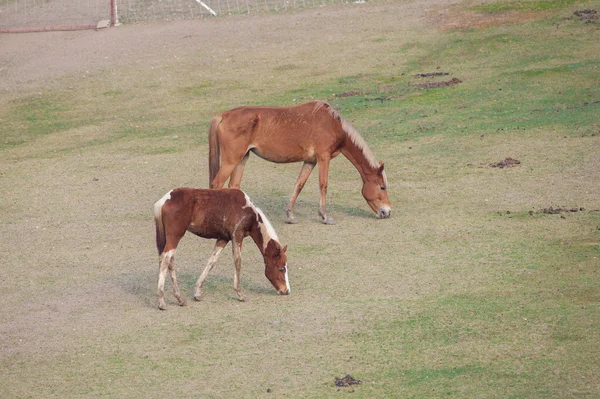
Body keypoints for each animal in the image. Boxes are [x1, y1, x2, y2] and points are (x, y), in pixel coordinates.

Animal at [152, 187, 288, 310]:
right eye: (281, 269)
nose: (286, 290)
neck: (249, 212)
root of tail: (164, 200)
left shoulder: (223, 239)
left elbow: (211, 262)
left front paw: (197, 293)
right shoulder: (237, 236)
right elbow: (237, 262)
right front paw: (240, 294)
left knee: (169, 261)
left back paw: (180, 299)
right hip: (175, 237)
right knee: (165, 259)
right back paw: (162, 301)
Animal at [209, 100, 392, 225]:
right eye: (382, 187)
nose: (387, 212)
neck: (332, 124)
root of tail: (222, 116)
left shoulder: (310, 161)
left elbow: (299, 185)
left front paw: (290, 215)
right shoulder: (323, 158)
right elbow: (323, 185)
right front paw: (325, 216)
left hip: (242, 159)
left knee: (234, 186)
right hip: (231, 161)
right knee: (216, 184)